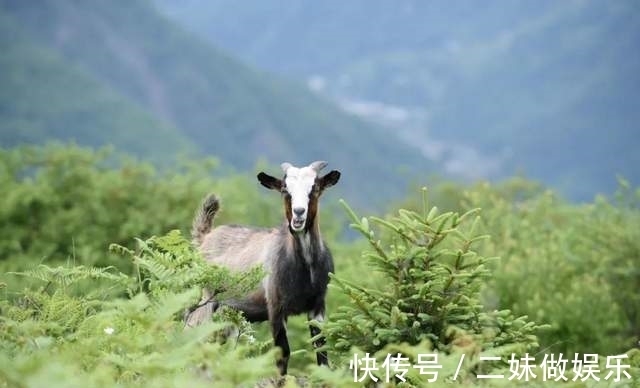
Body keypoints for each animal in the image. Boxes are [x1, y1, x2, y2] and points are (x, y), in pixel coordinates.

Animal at [184, 161, 340, 376]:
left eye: (314, 188)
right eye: (285, 190)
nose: (299, 213)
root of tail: (205, 238)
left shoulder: (317, 305)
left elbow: (321, 352)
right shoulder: (275, 306)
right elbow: (282, 353)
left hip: (229, 313)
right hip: (205, 301)